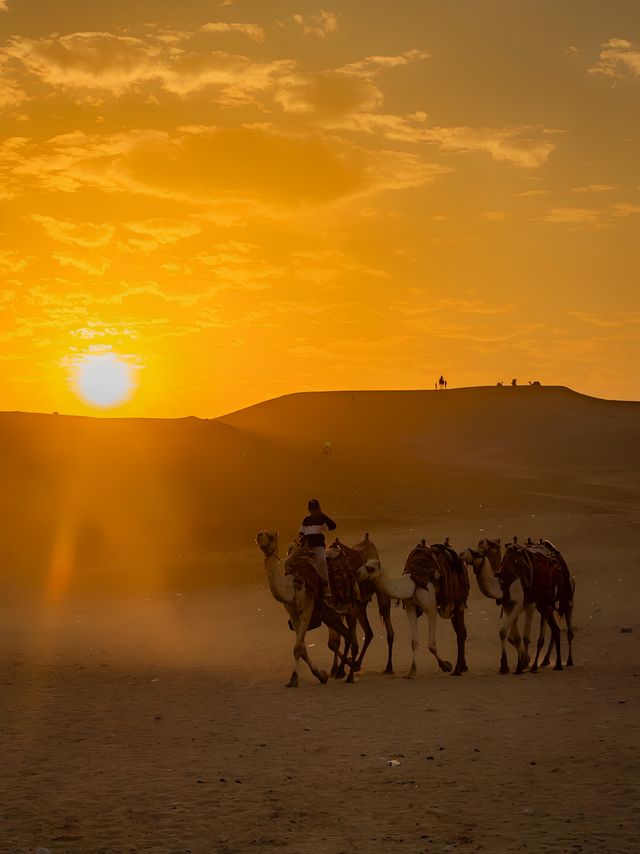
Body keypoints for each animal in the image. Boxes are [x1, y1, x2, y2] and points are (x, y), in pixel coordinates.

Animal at [255, 528, 358, 688]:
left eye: (271, 536)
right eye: (263, 533)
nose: (259, 535)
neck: (291, 586)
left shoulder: (307, 610)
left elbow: (298, 648)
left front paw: (293, 679)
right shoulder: (292, 612)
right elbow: (302, 648)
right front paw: (322, 676)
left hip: (351, 608)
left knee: (353, 639)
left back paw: (351, 676)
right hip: (330, 616)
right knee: (346, 636)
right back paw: (343, 671)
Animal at [358, 540, 468, 684]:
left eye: (371, 568)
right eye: (365, 563)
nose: (357, 573)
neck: (411, 585)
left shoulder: (431, 609)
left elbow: (431, 645)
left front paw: (446, 666)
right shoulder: (410, 608)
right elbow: (414, 642)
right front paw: (412, 672)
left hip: (458, 602)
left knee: (461, 632)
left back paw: (457, 670)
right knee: (461, 631)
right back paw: (463, 667)